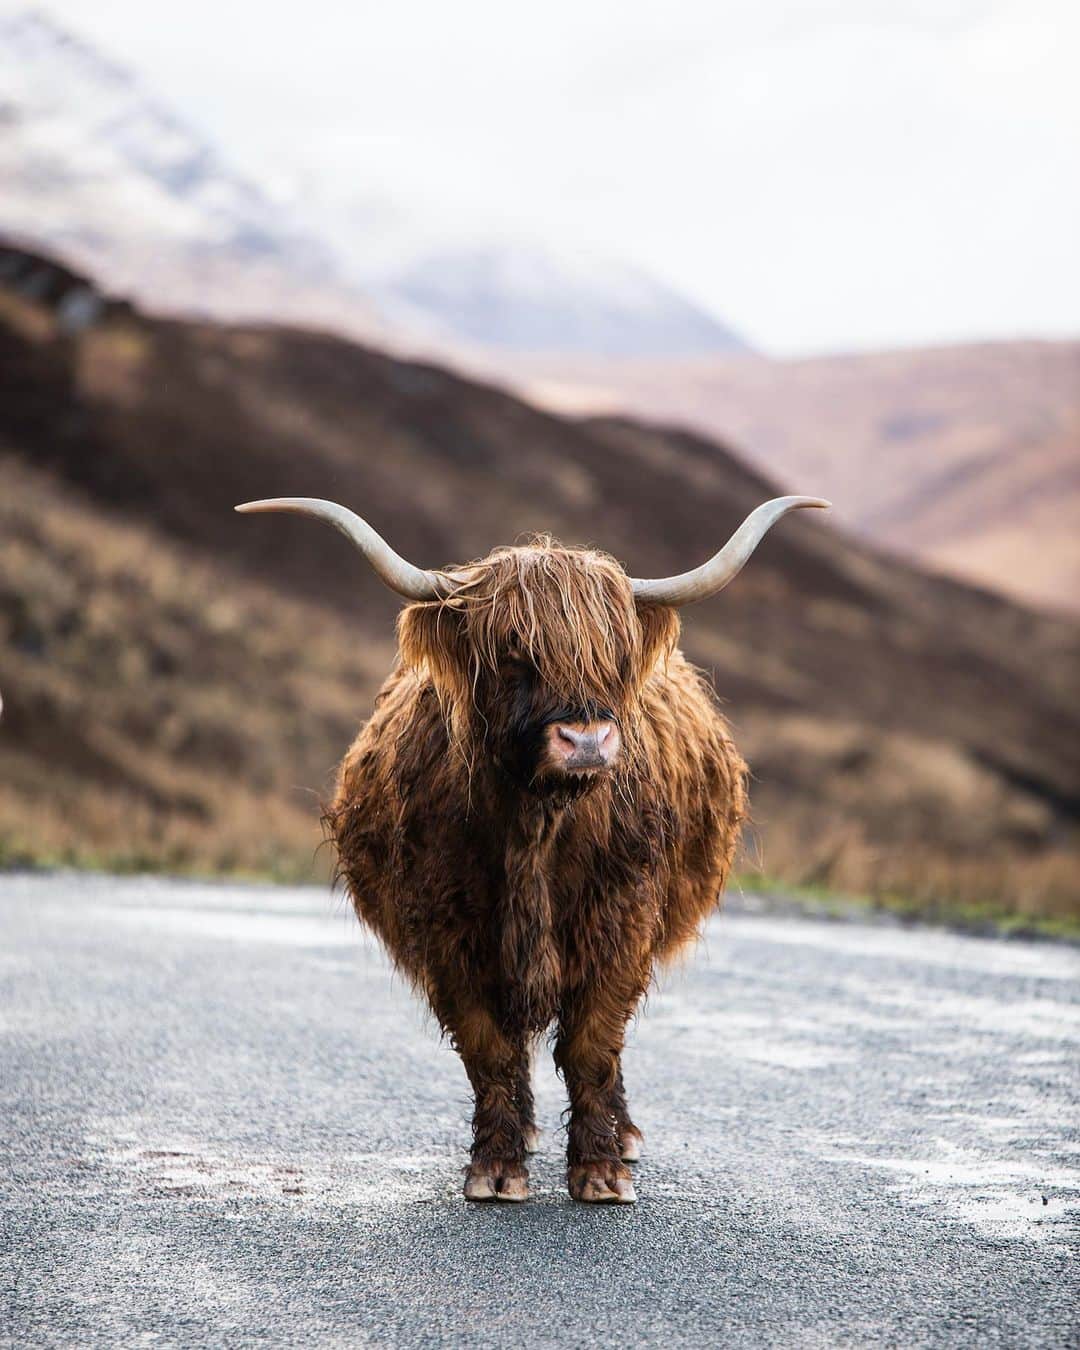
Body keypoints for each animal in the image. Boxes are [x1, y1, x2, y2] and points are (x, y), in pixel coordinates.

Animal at [236, 493, 828, 1203]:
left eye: (613, 654)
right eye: (514, 652)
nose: (587, 739)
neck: (536, 827)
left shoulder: (621, 923)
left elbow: (593, 1046)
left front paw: (600, 1172)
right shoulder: (452, 936)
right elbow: (489, 1049)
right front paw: (496, 1168)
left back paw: (624, 1139)